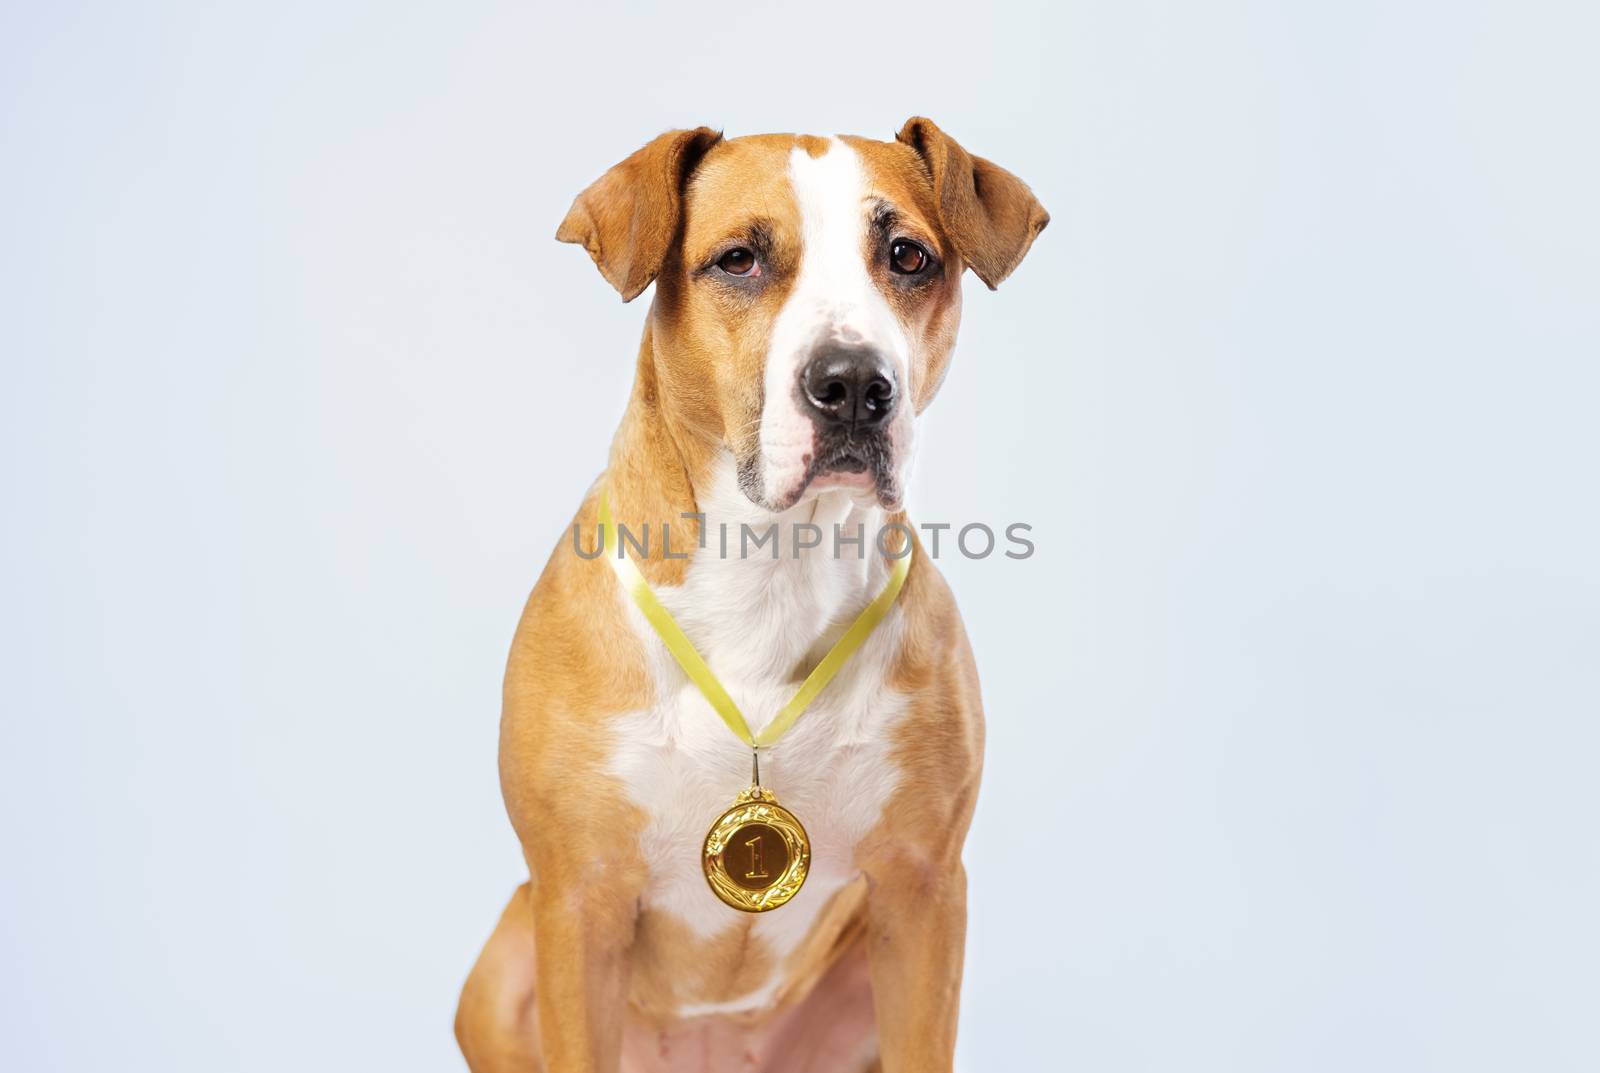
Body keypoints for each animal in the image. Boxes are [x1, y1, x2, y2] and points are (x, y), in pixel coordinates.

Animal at [454, 119, 1049, 1073]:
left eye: (908, 256)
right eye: (738, 259)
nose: (854, 383)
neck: (773, 570)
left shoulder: (923, 893)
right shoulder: (576, 901)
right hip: (504, 957)